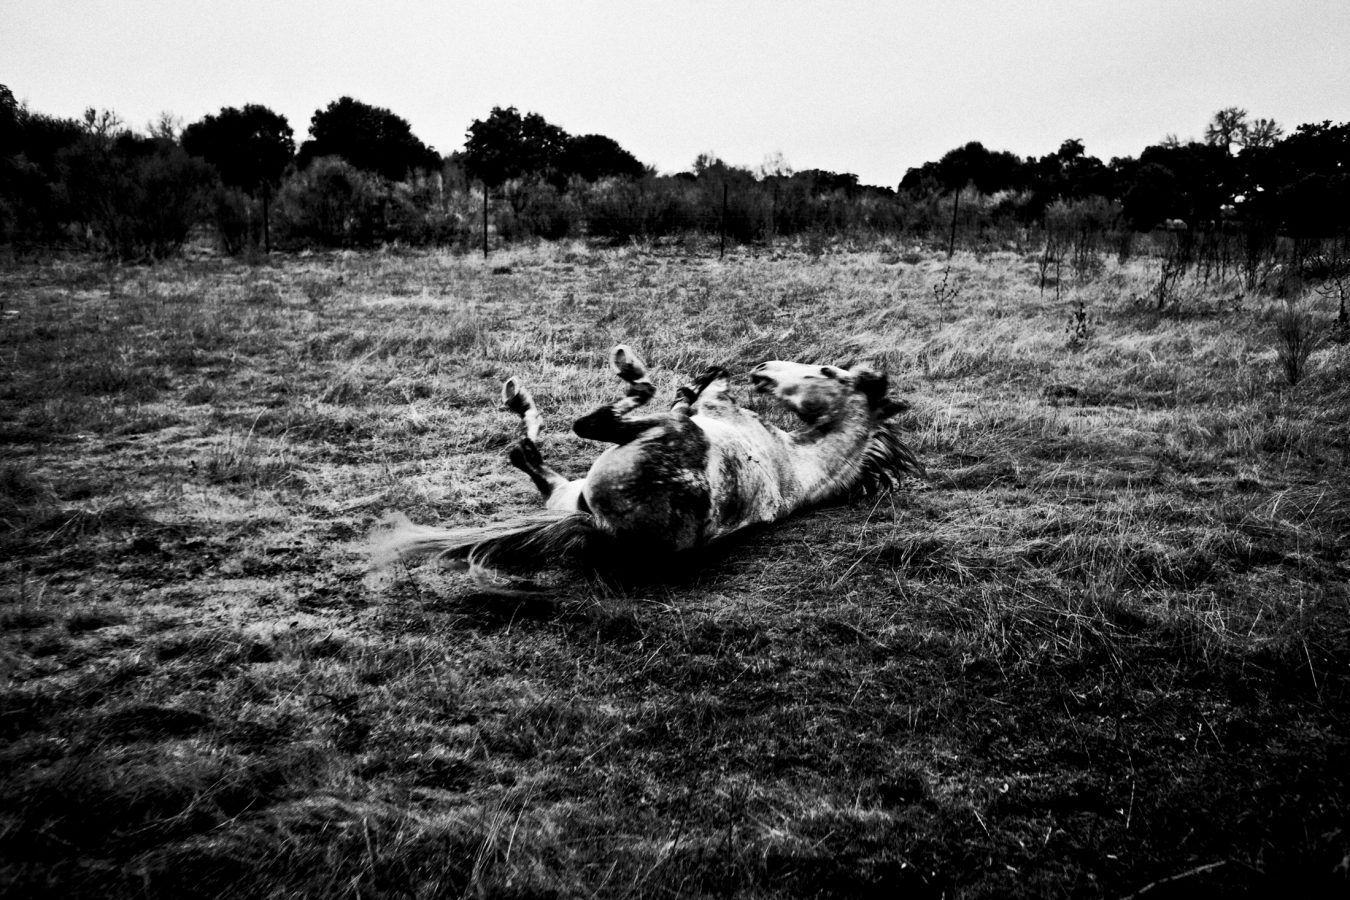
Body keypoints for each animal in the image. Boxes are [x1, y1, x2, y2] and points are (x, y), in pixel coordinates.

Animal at [376, 344, 925, 572]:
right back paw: (522, 400)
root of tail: (599, 526)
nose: (763, 369)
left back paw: (628, 369)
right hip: (568, 492)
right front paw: (701, 377)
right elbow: (692, 393)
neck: (795, 464)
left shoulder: (705, 413)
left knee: (589, 424)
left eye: (827, 371)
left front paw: (703, 379)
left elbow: (699, 397)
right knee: (525, 452)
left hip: (651, 437)